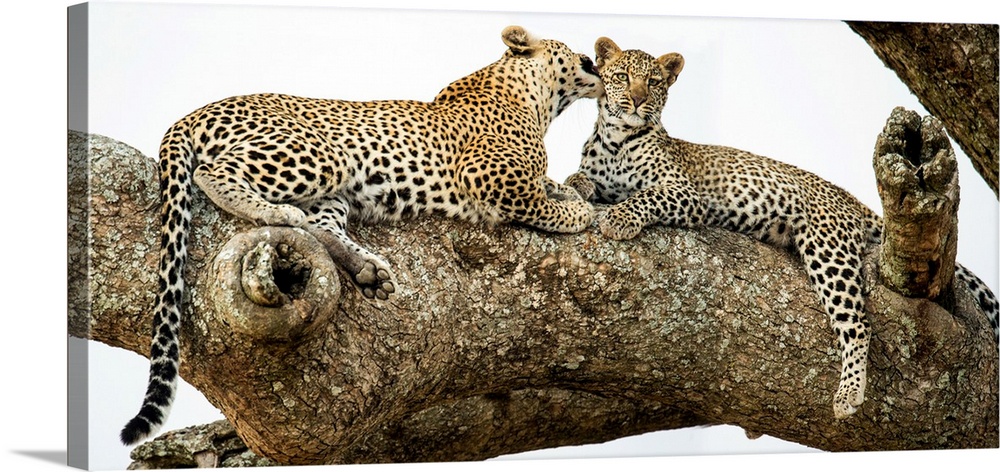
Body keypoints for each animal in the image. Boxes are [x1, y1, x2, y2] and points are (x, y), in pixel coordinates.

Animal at [117, 25, 600, 446]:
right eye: (574, 50)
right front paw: (577, 208)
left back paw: (367, 269)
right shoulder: (490, 175)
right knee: (213, 173)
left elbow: (549, 187)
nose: (593, 57)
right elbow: (547, 205)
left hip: (334, 190)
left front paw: (571, 188)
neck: (535, 97)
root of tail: (192, 113)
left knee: (322, 227)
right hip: (321, 153)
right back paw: (278, 212)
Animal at [568, 37, 996, 420]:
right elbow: (580, 180)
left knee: (857, 325)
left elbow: (647, 196)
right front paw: (578, 188)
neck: (616, 140)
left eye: (654, 82)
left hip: (828, 249)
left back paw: (848, 394)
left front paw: (618, 218)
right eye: (622, 77)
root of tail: (848, 196)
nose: (639, 100)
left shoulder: (685, 192)